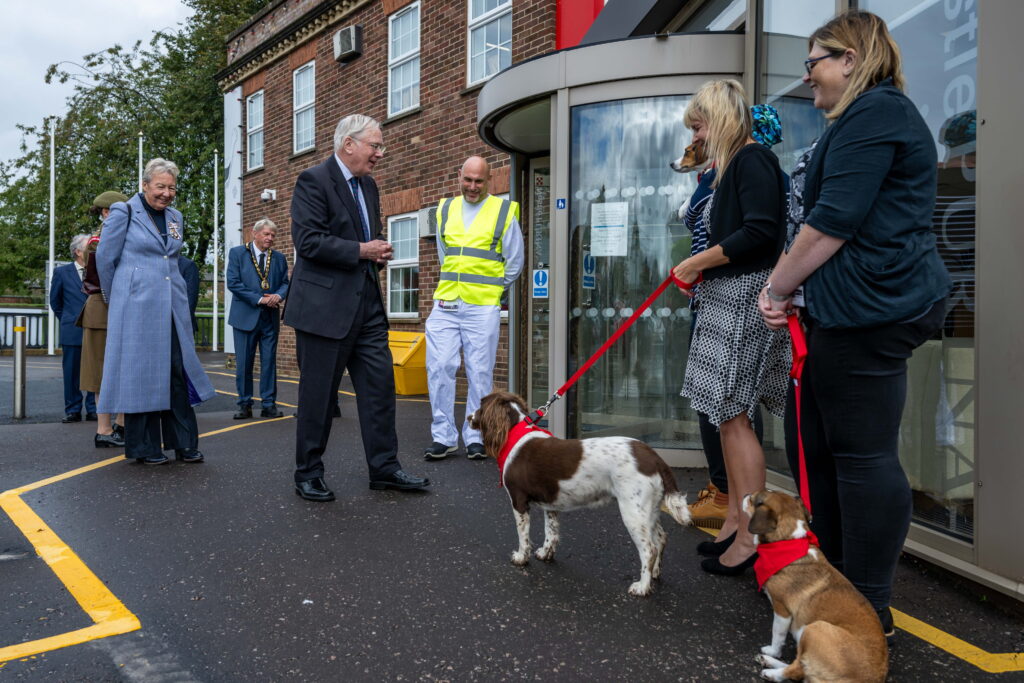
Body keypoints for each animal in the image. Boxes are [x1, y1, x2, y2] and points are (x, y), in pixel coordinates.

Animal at [745, 491, 888, 683]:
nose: (745, 495)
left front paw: (773, 651)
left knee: (798, 669)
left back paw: (771, 671)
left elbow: (778, 634)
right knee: (803, 665)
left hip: (814, 628)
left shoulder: (782, 610)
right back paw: (769, 662)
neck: (788, 542)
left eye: (752, 499)